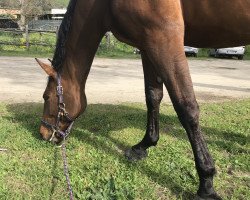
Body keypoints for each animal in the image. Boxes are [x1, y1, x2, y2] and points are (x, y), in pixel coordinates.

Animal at [35, 0, 250, 199]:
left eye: (46, 96)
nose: (43, 133)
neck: (105, 4)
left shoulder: (164, 41)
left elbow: (186, 108)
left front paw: (206, 182)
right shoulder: (148, 46)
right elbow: (153, 96)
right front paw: (144, 145)